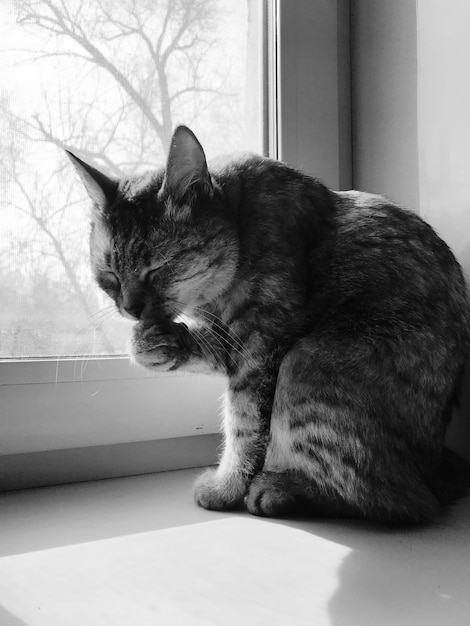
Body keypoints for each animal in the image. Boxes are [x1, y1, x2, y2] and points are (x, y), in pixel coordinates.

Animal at [66, 124, 470, 524]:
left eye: (157, 268)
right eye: (109, 273)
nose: (131, 308)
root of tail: (435, 469)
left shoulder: (261, 352)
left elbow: (244, 426)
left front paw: (227, 487)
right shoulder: (229, 341)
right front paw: (151, 343)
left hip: (307, 362)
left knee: (394, 501)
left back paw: (281, 488)